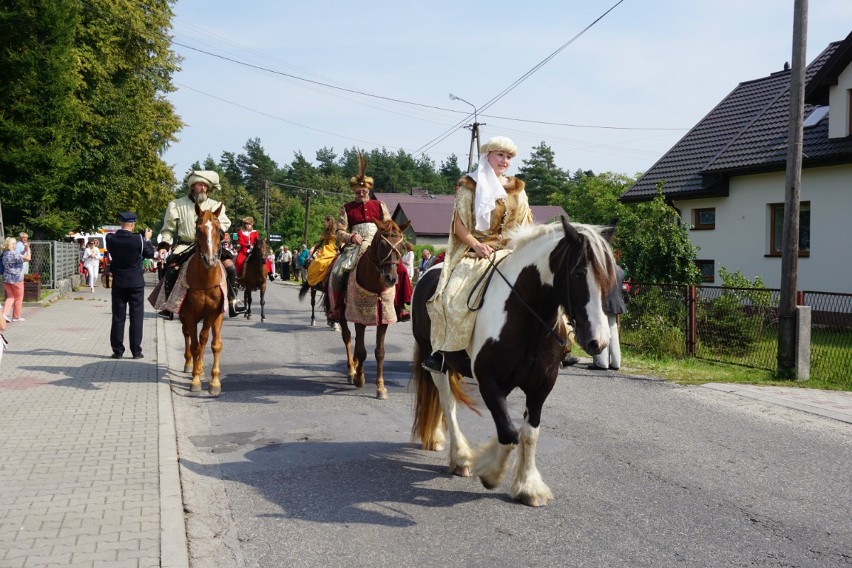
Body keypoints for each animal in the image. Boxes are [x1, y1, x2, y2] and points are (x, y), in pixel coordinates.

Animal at [336, 217, 410, 400]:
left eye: (401, 244)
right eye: (383, 244)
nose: (391, 278)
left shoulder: (383, 319)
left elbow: (380, 352)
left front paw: (381, 387)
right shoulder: (360, 318)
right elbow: (362, 351)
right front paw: (359, 378)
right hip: (342, 314)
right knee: (347, 338)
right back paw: (351, 370)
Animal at [410, 217, 616, 506]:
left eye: (610, 275)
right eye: (578, 273)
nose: (599, 341)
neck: (525, 318)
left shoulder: (543, 384)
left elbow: (528, 433)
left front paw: (529, 486)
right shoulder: (489, 381)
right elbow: (509, 433)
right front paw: (491, 472)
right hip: (435, 361)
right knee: (448, 403)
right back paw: (461, 458)